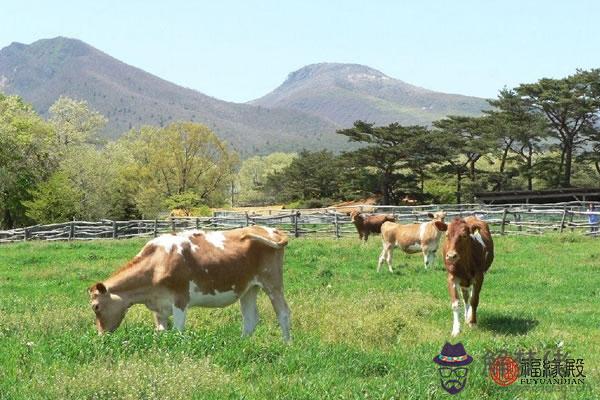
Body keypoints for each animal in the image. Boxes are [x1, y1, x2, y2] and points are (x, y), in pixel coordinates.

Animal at [89, 227, 292, 342]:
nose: (100, 336)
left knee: (283, 312)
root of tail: (268, 228)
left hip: (272, 282)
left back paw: (286, 345)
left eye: (96, 306)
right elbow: (161, 332)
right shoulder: (158, 306)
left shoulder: (180, 299)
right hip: (249, 287)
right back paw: (242, 344)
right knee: (250, 318)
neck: (157, 262)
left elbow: (178, 331)